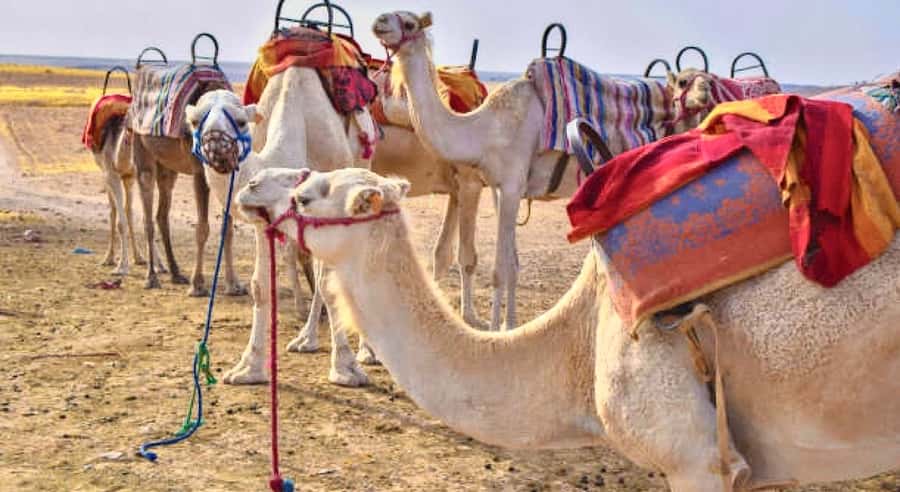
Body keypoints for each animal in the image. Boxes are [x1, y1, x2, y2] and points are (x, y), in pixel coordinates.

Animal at [371, 11, 682, 330]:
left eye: (409, 23)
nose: (380, 21)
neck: (484, 129)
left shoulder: (509, 185)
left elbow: (499, 270)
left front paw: (495, 331)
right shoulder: (501, 188)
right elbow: (512, 265)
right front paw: (509, 326)